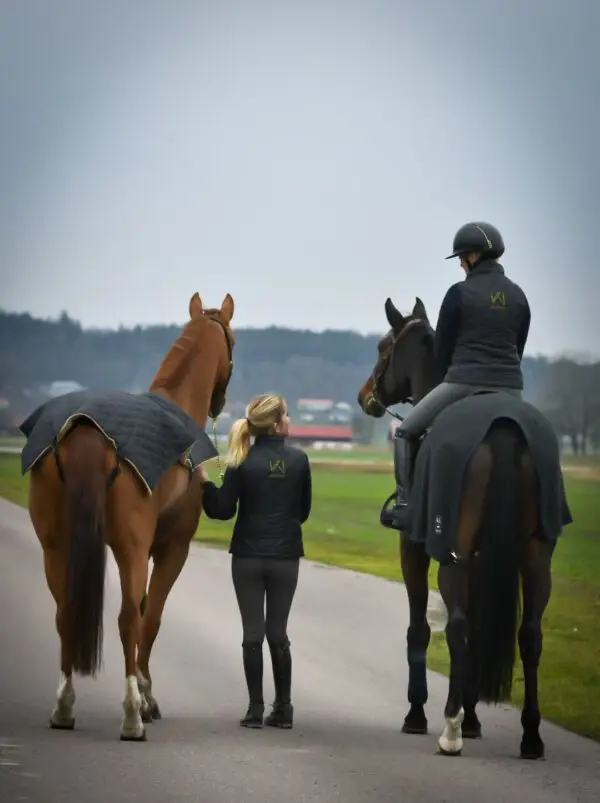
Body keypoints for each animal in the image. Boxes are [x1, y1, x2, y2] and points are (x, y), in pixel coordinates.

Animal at [28, 292, 234, 744]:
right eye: (234, 343)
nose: (221, 402)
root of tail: (86, 429)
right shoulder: (171, 549)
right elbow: (149, 618)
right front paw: (146, 696)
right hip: (130, 549)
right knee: (127, 620)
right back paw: (131, 717)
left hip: (56, 546)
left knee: (65, 613)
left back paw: (63, 707)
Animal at [356, 296, 556, 760]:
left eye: (382, 346)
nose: (365, 396)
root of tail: (503, 426)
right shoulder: (483, 560)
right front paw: (475, 719)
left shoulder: (413, 550)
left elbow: (420, 630)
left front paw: (418, 715)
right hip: (536, 559)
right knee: (530, 635)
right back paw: (531, 735)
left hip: (453, 557)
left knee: (458, 626)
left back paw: (450, 730)